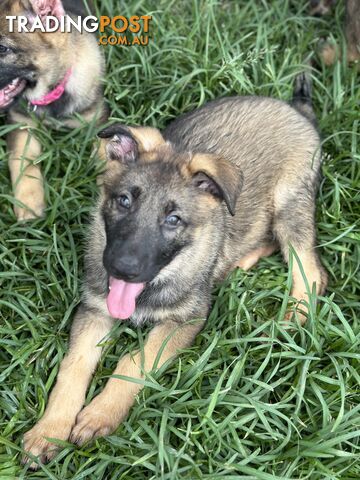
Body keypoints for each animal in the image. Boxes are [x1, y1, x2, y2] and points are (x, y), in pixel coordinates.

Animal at [21, 73, 326, 466]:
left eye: (173, 220)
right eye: (123, 201)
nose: (122, 269)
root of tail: (296, 108)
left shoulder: (185, 320)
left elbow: (135, 361)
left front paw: (100, 414)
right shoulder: (95, 309)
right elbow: (73, 368)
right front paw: (49, 430)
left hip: (290, 204)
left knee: (311, 271)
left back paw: (291, 320)